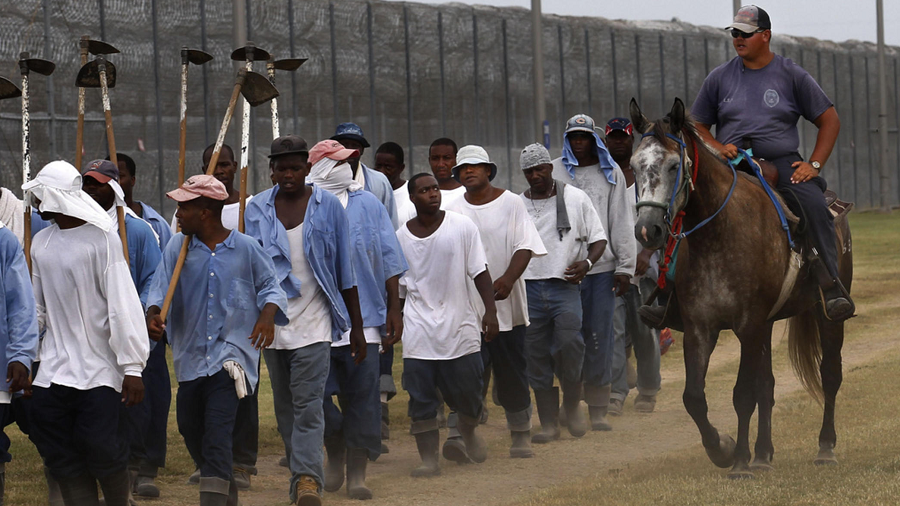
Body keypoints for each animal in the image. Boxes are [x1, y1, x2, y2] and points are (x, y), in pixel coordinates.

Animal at [624, 96, 852, 478]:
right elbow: (694, 397)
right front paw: (724, 449)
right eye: (634, 165)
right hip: (767, 325)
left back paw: (825, 448)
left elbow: (742, 394)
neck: (719, 234)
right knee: (768, 385)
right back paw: (763, 454)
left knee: (830, 374)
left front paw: (740, 462)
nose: (647, 229)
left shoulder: (747, 324)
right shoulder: (702, 328)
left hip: (826, 315)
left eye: (673, 165)